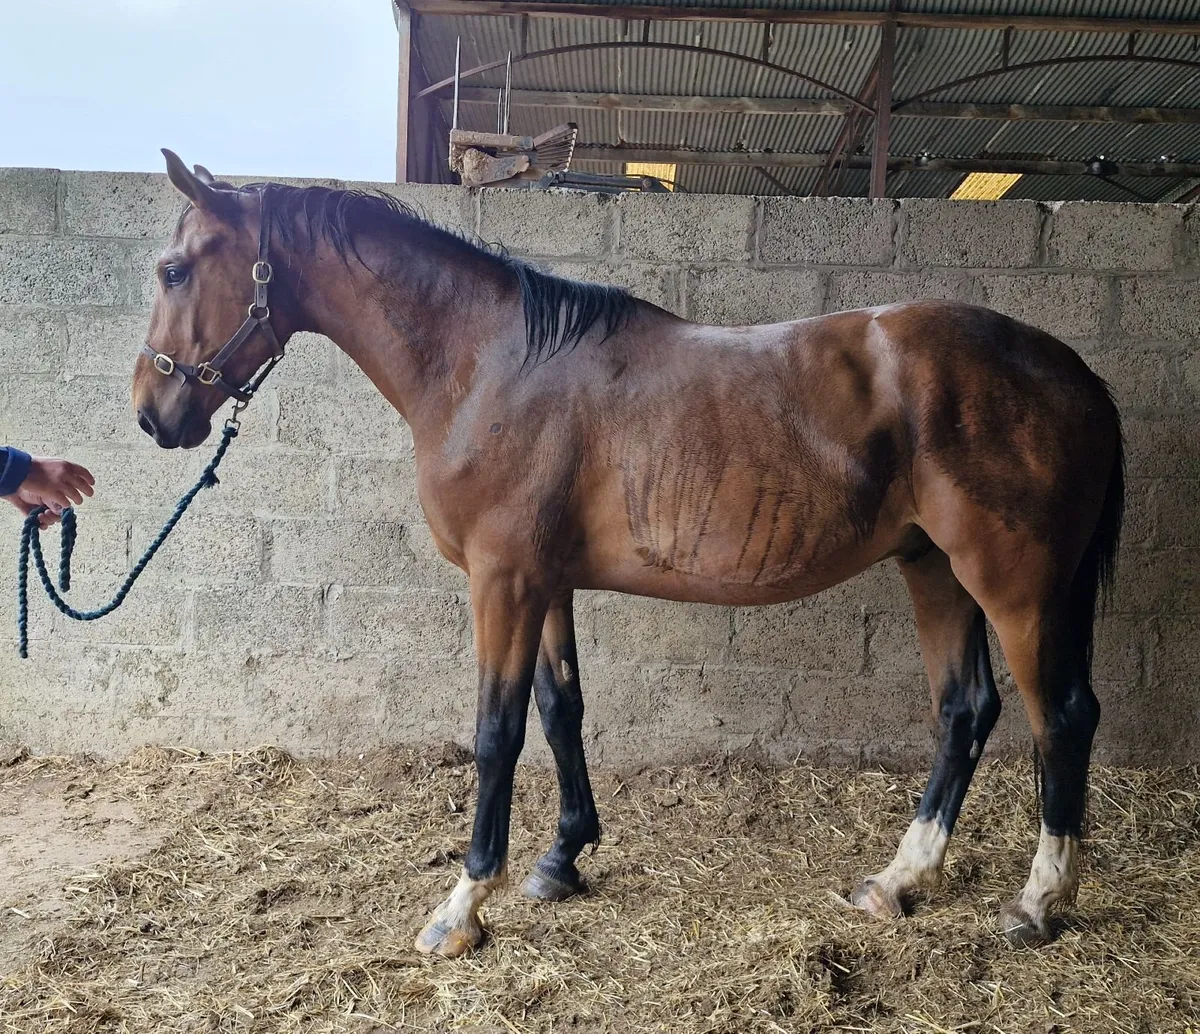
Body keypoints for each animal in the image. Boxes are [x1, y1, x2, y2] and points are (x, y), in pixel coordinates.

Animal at [131, 150, 1124, 958]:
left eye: (175, 269)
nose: (151, 412)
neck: (489, 364)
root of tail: (1074, 371)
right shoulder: (546, 583)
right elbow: (561, 709)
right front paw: (562, 859)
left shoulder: (503, 581)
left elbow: (497, 732)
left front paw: (464, 906)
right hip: (933, 569)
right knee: (965, 711)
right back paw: (897, 881)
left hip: (1013, 586)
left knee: (1062, 718)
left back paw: (1038, 903)